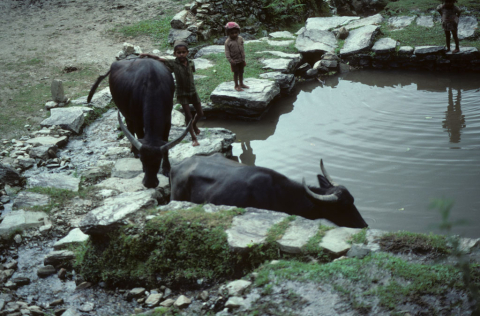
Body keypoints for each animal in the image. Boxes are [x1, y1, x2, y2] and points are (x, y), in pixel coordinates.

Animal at [88, 57, 189, 188]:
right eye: (143, 160)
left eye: (158, 160)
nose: (150, 183)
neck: (152, 85)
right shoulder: (137, 120)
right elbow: (139, 135)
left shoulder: (168, 120)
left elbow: (166, 143)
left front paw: (166, 169)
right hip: (125, 111)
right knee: (129, 127)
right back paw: (134, 151)